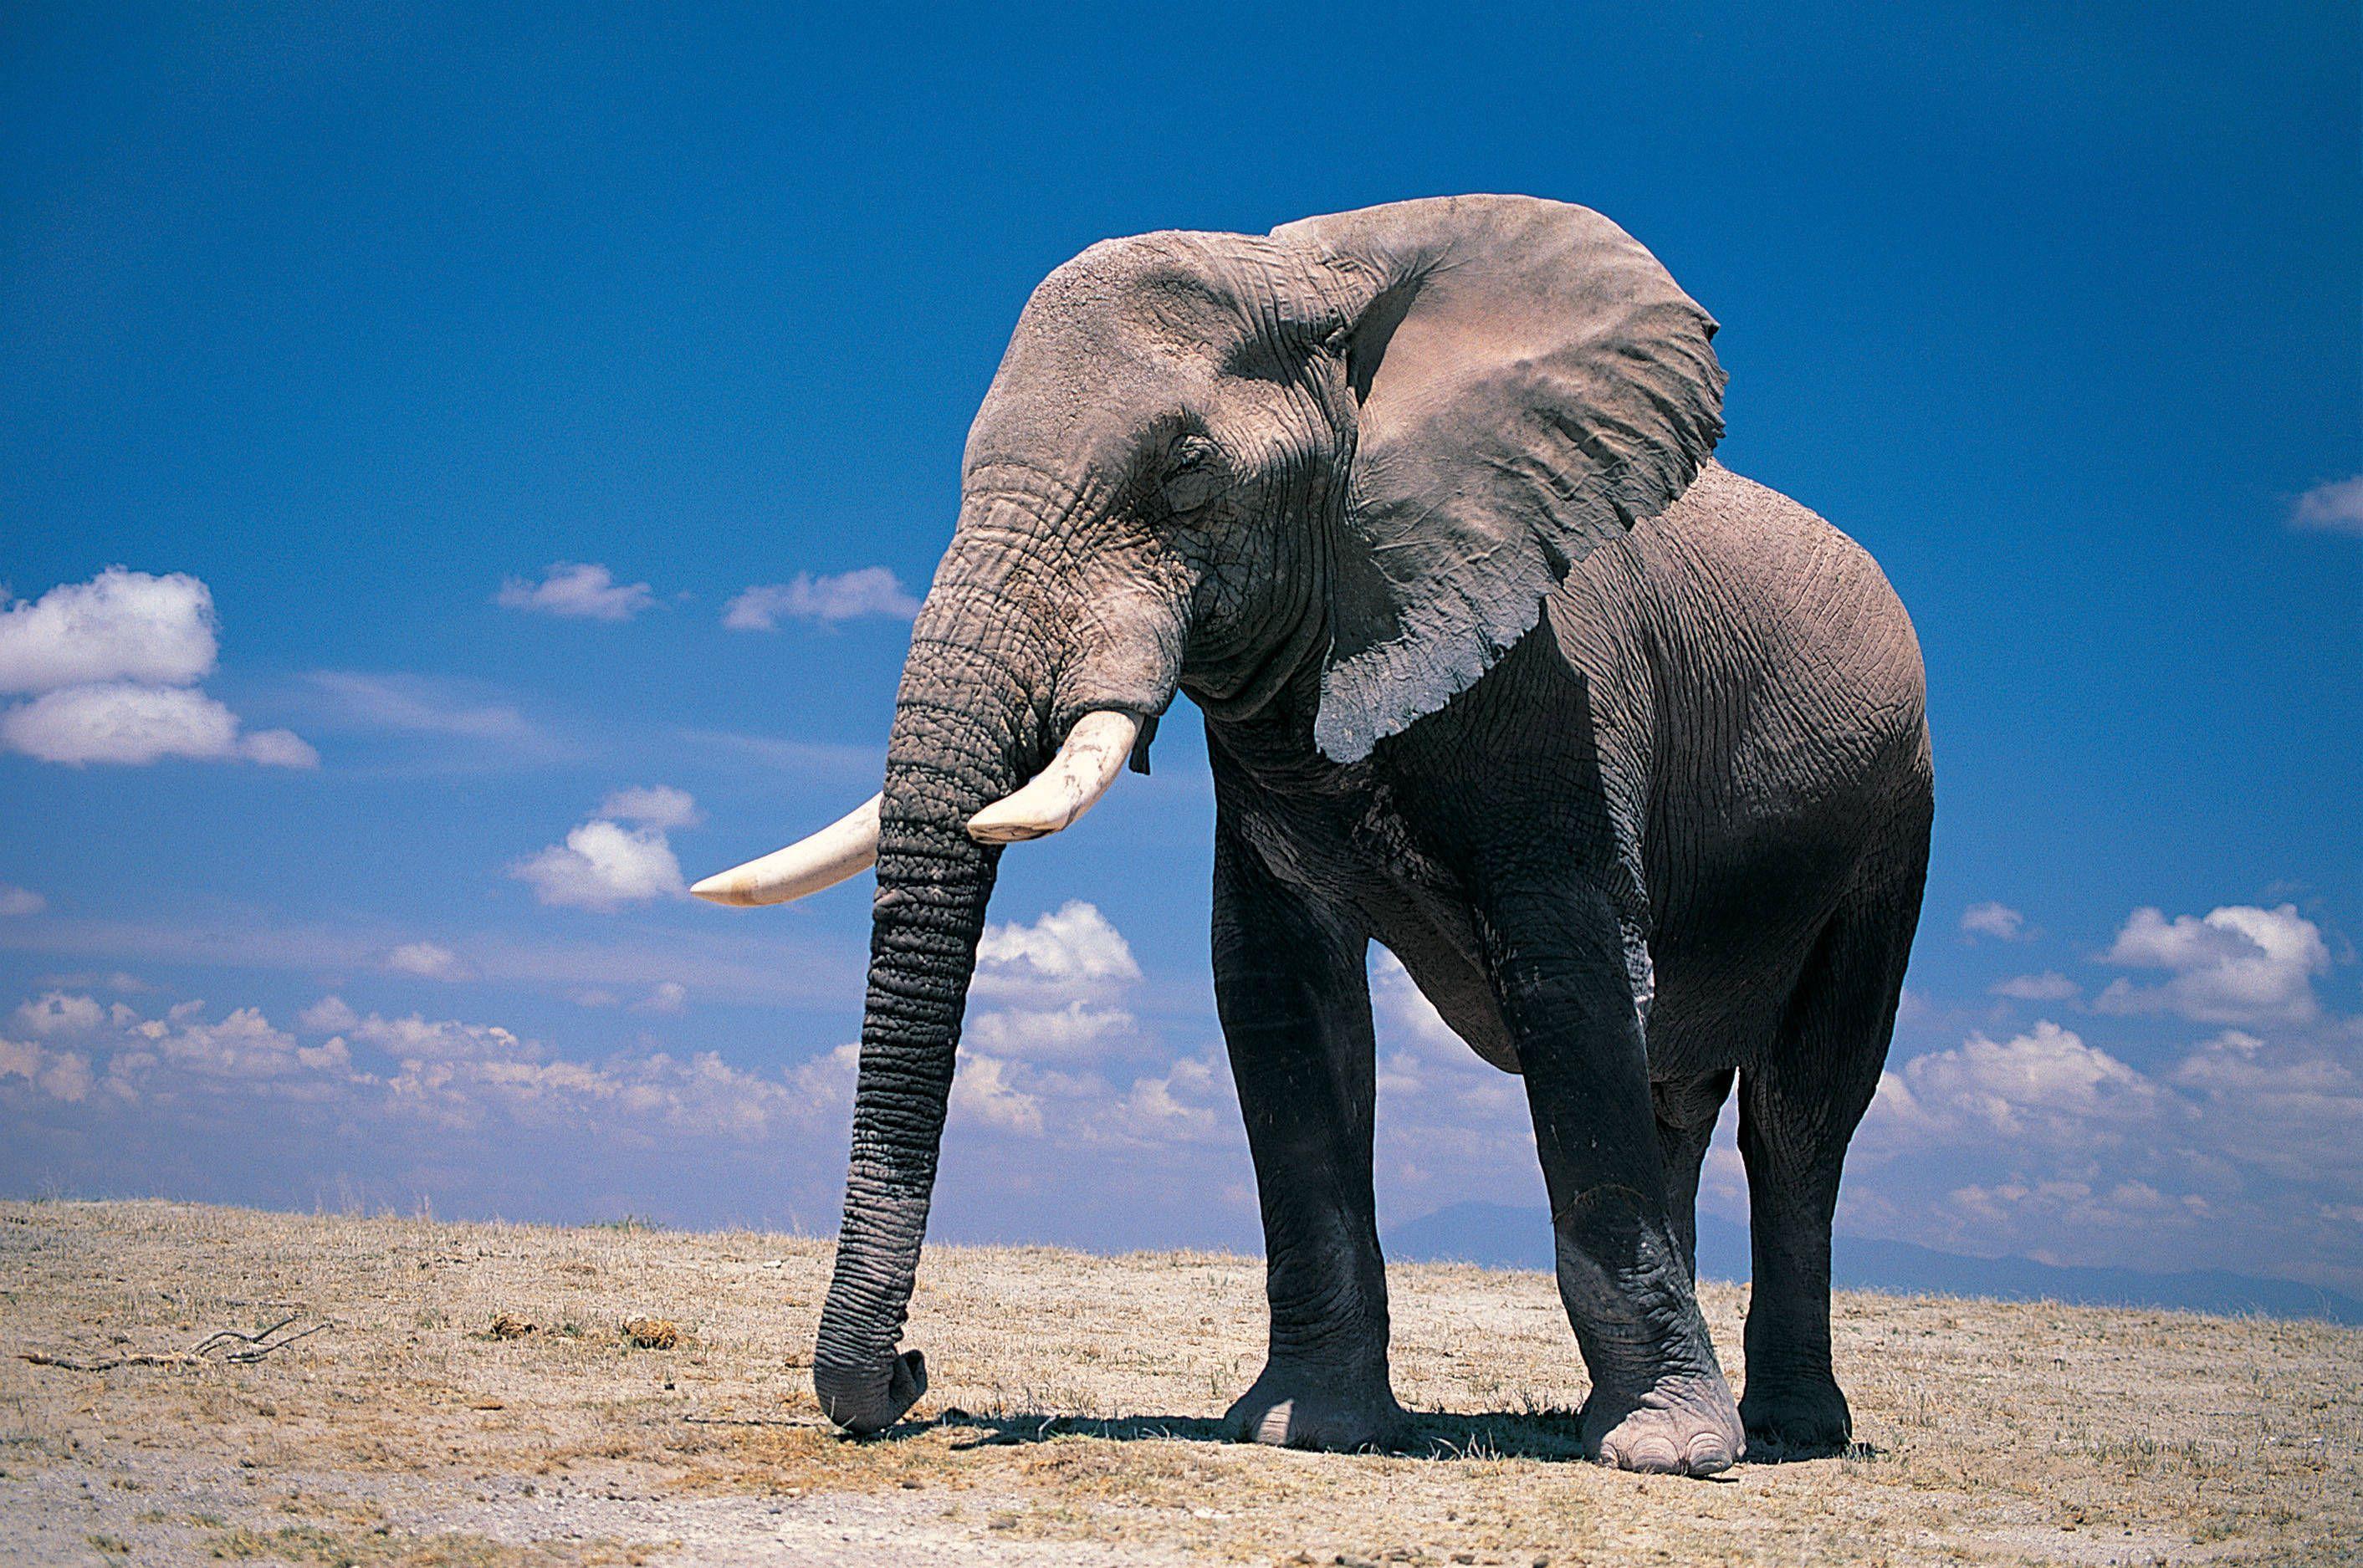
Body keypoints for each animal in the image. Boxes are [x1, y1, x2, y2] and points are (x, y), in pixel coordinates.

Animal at [694, 195, 1932, 1476]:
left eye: (1186, 473)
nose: (908, 1370)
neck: (1319, 277)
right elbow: (1281, 997)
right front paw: (1313, 1429)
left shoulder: (1570, 685)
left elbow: (1572, 982)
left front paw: (1667, 1457)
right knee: (1676, 1096)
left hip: (1892, 819)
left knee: (1800, 1114)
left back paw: (1780, 1430)